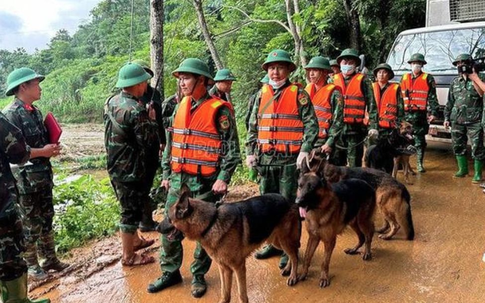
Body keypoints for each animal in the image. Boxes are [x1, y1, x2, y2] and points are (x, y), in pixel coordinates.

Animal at [168, 185, 300, 303]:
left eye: (168, 219)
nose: (159, 227)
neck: (212, 222)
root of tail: (287, 199)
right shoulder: (224, 268)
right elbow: (225, 293)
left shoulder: (238, 267)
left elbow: (241, 295)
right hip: (276, 240)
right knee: (292, 253)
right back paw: (288, 269)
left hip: (284, 240)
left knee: (295, 256)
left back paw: (293, 276)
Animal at [294, 160, 374, 288]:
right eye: (300, 186)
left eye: (311, 188)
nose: (297, 202)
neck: (317, 213)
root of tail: (366, 183)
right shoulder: (313, 238)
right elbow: (307, 257)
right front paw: (303, 274)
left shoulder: (329, 241)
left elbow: (324, 262)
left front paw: (324, 278)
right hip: (353, 222)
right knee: (361, 237)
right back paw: (353, 249)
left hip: (362, 221)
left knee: (368, 235)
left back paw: (367, 252)